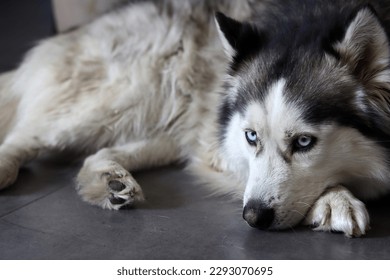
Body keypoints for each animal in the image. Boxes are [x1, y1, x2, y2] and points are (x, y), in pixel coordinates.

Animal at [0, 0, 390, 237]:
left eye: (305, 142)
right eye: (251, 137)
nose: (252, 217)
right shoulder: (223, 147)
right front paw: (334, 199)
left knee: (98, 152)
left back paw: (111, 181)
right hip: (127, 95)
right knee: (26, 134)